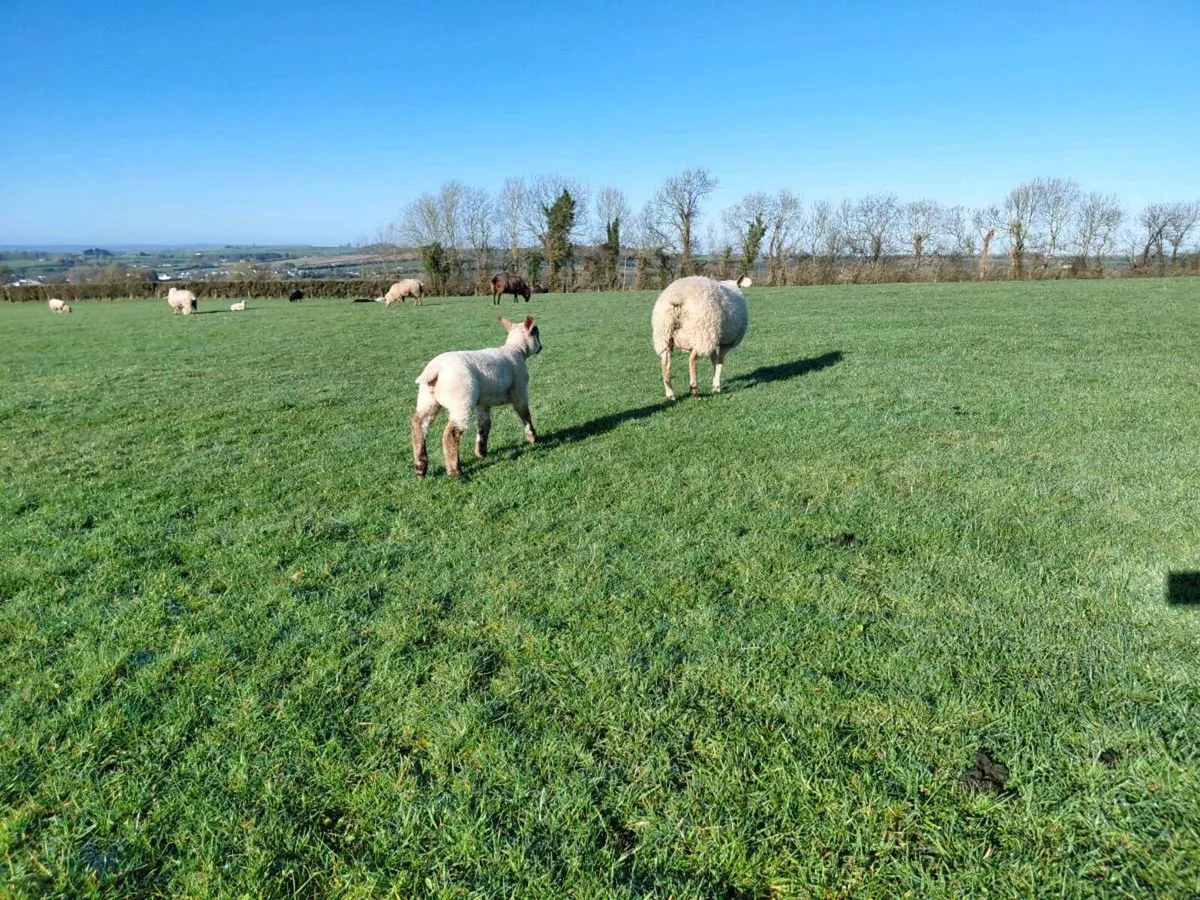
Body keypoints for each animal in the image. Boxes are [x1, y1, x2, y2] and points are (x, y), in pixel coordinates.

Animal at [411, 315, 542, 481]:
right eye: (536, 332)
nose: (541, 346)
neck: (515, 350)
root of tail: (435, 370)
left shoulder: (484, 403)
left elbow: (484, 425)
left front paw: (481, 452)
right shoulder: (520, 392)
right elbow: (526, 416)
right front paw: (534, 439)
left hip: (427, 400)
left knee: (419, 425)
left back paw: (420, 467)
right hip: (461, 401)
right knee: (450, 434)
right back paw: (456, 472)